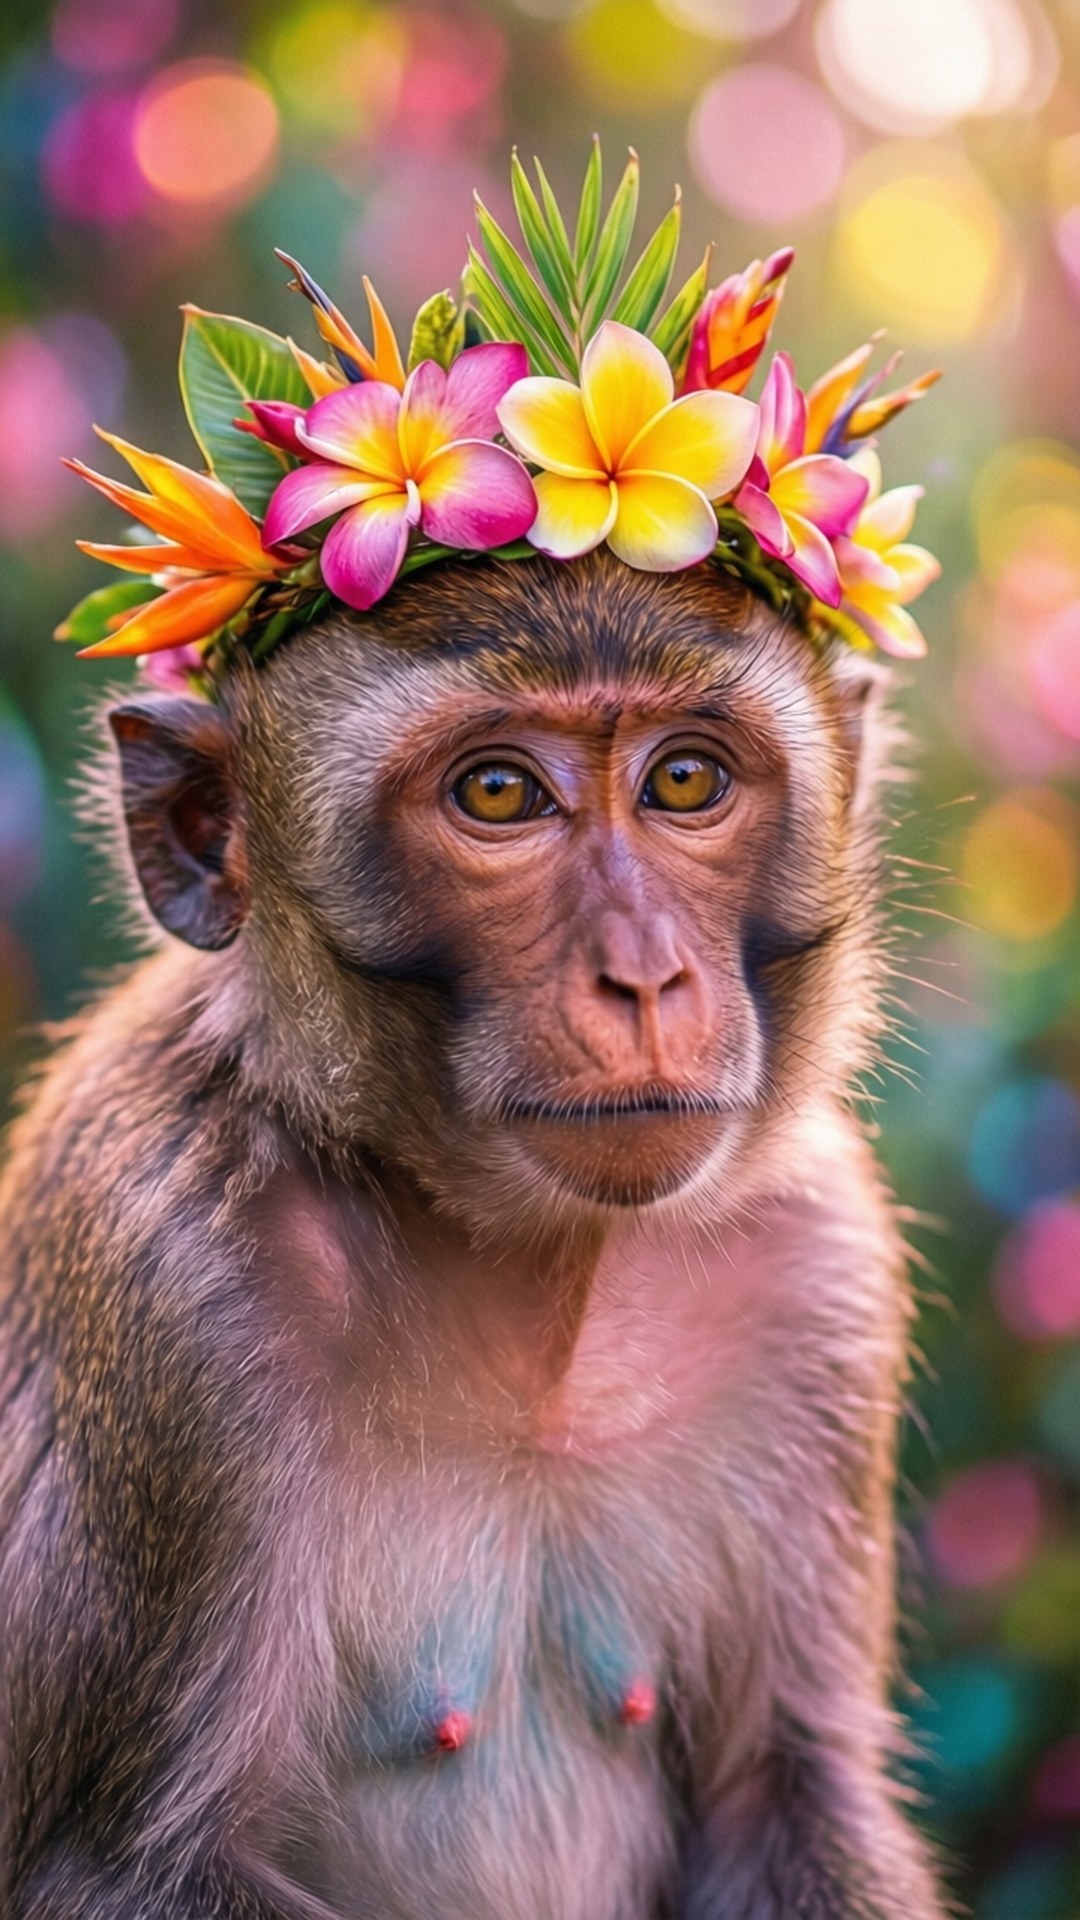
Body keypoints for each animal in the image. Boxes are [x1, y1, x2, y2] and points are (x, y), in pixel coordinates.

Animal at [0, 549, 949, 1920]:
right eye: (498, 793)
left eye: (686, 780)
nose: (646, 978)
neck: (537, 1280)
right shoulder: (165, 1293)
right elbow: (122, 1869)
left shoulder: (821, 1270)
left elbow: (785, 1795)